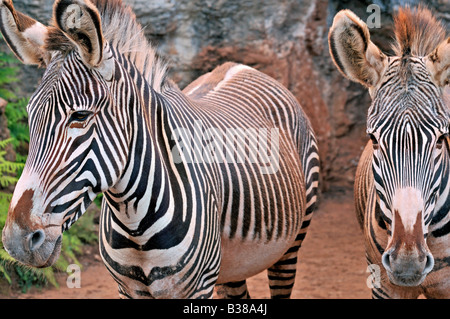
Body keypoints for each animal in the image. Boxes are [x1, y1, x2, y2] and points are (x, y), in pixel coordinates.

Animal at [0, 0, 318, 300]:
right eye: (30, 115)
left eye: (80, 116)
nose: (17, 241)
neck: (134, 224)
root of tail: (242, 67)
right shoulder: (127, 288)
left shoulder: (199, 287)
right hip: (232, 266)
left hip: (291, 243)